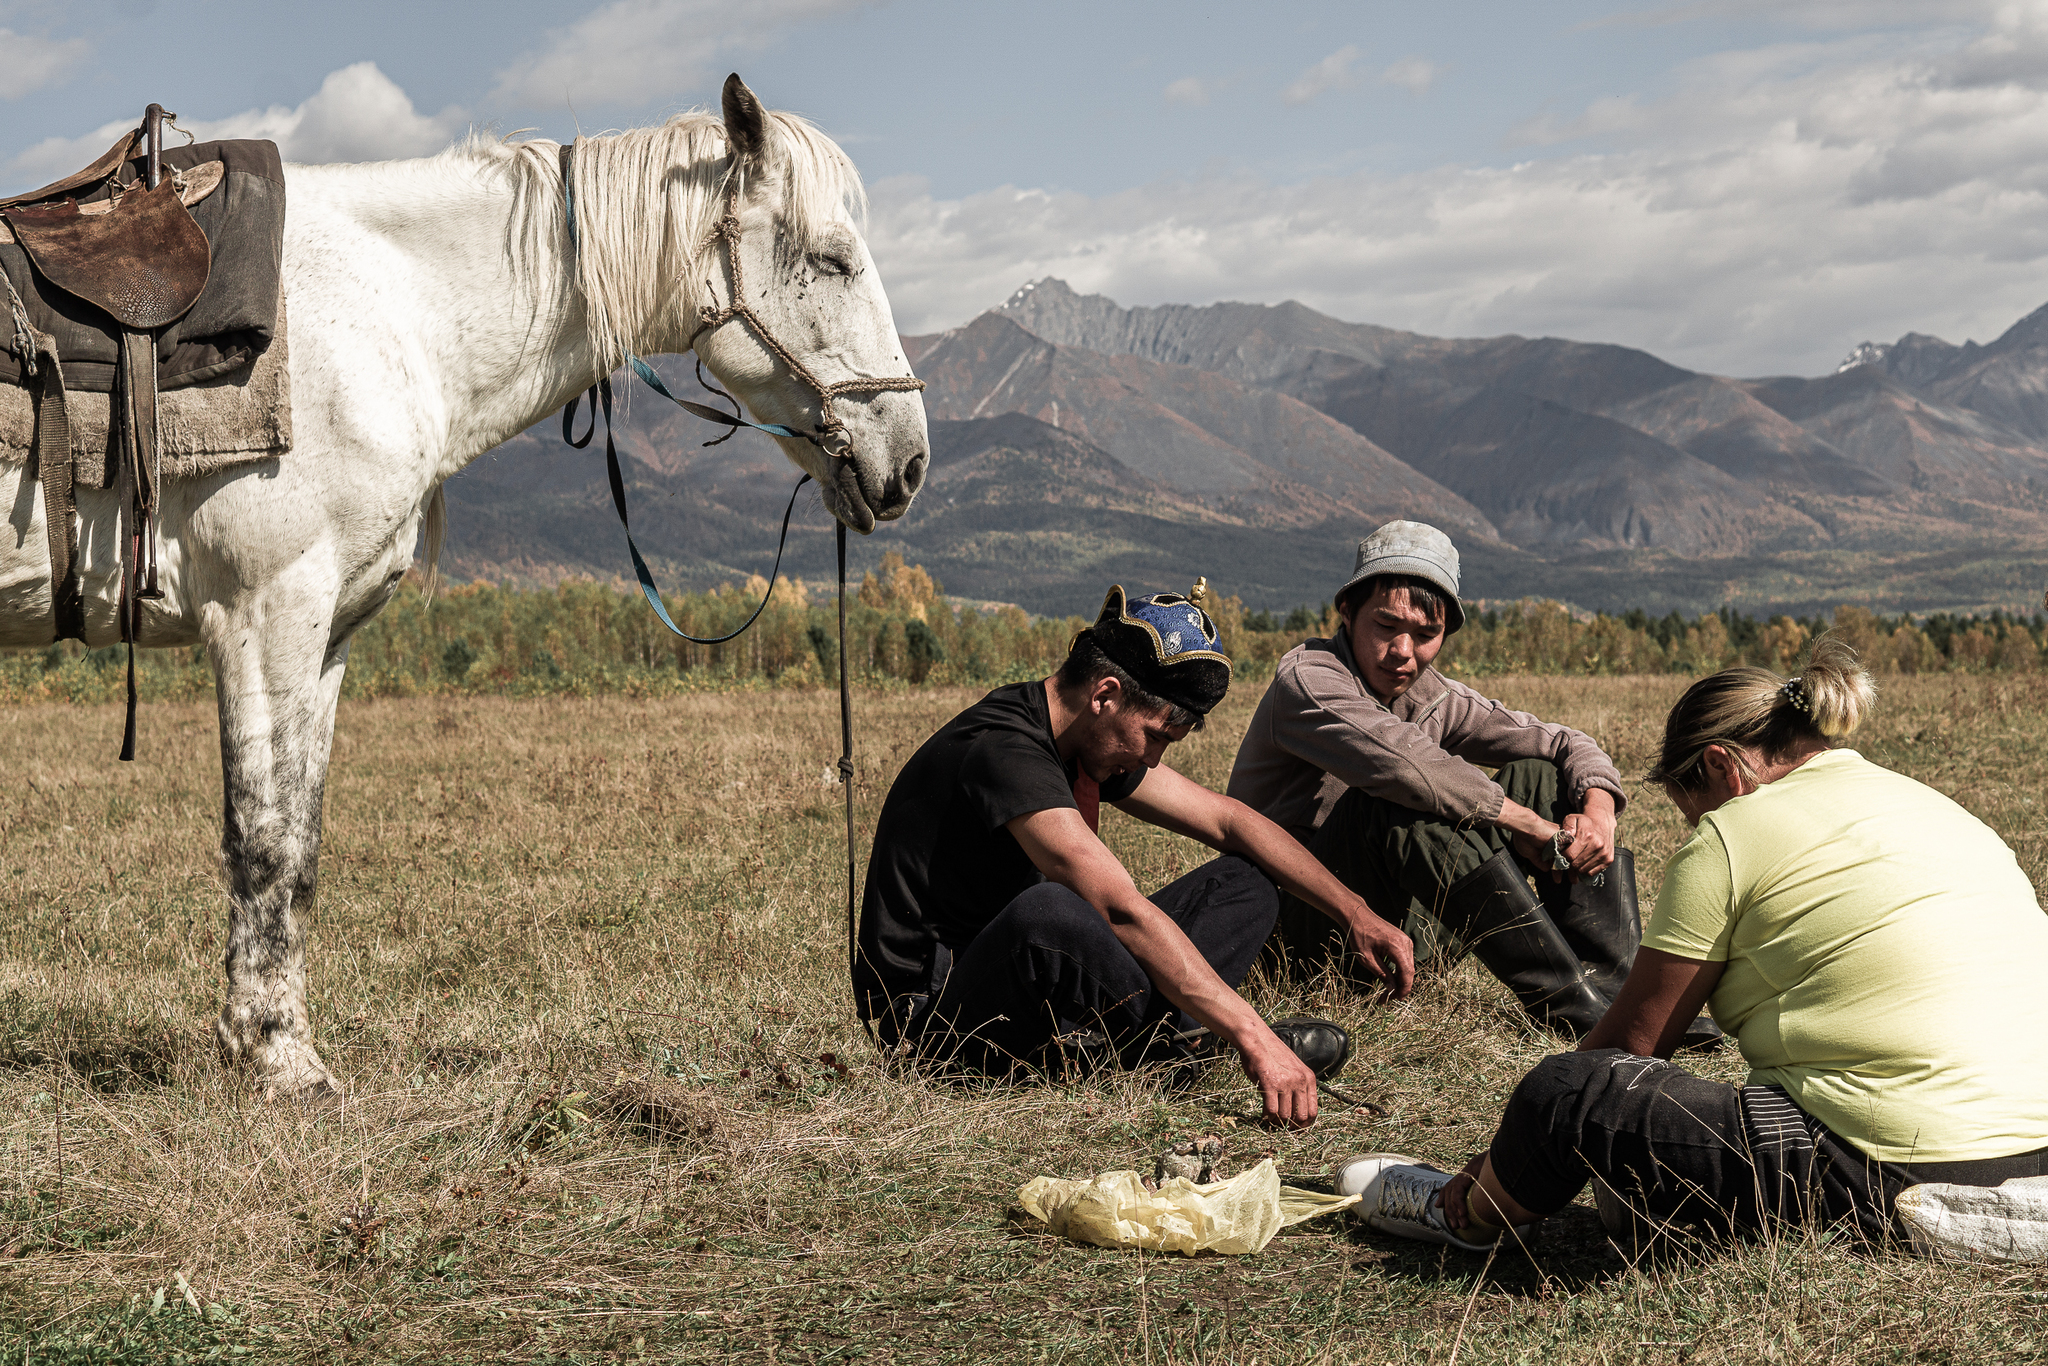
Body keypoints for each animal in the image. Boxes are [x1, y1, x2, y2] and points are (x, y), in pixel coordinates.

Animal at [0, 77, 929, 1097]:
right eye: (833, 259)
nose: (909, 460)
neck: (386, 317)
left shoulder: (323, 640)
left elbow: (303, 842)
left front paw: (273, 1039)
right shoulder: (263, 617)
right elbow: (263, 839)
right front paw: (278, 1056)